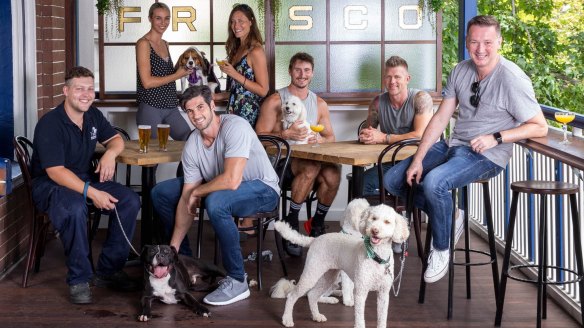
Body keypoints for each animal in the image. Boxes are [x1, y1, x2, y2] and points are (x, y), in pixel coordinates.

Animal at [274, 200, 408, 328]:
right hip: (311, 274)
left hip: (328, 276)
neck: (376, 256)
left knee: (312, 295)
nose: (374, 230)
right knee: (292, 296)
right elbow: (359, 319)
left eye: (387, 222)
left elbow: (382, 319)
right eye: (373, 218)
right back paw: (287, 319)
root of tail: (315, 240)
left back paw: (317, 316)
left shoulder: (383, 294)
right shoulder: (360, 292)